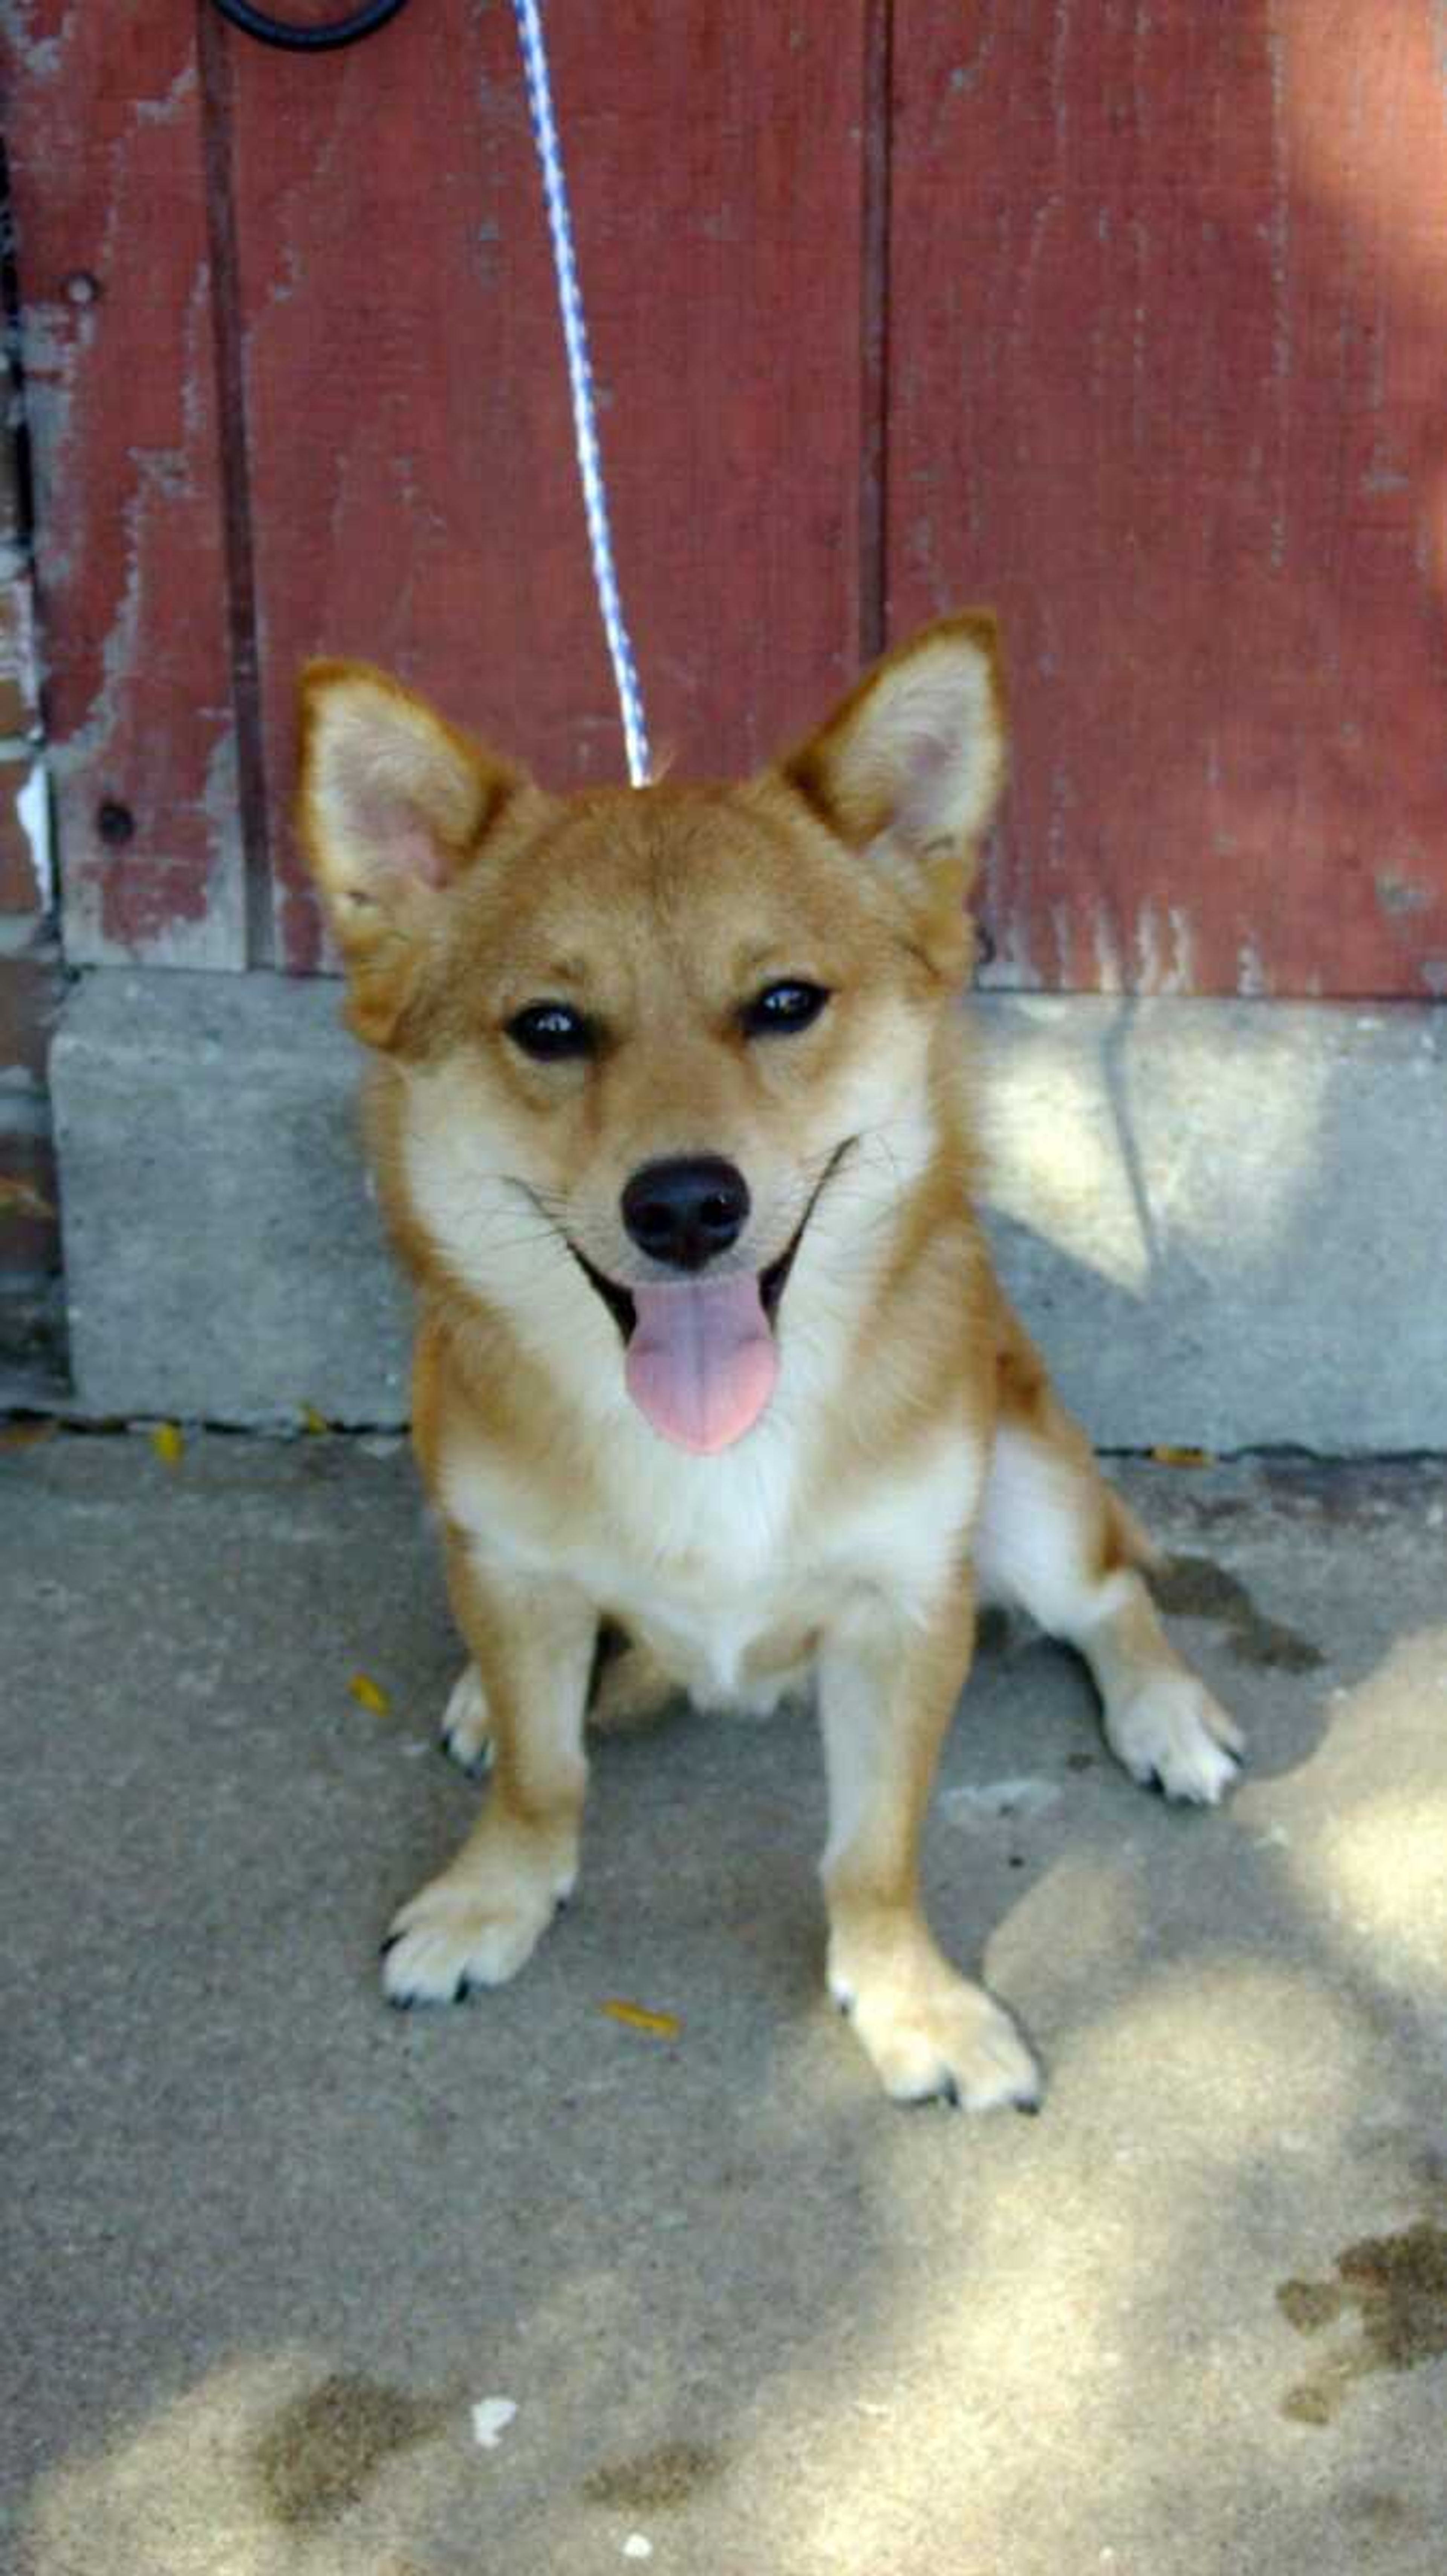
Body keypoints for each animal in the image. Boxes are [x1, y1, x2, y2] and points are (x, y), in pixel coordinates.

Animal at [296, 618, 1241, 2112]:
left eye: (785, 1003)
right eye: (550, 1026)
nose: (686, 1204)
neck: (710, 1448)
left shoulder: (907, 1611)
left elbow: (874, 1850)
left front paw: (910, 1997)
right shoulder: (503, 1562)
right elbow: (544, 1780)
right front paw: (495, 1891)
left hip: (1029, 1491)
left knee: (1108, 1596)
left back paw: (1163, 1713)